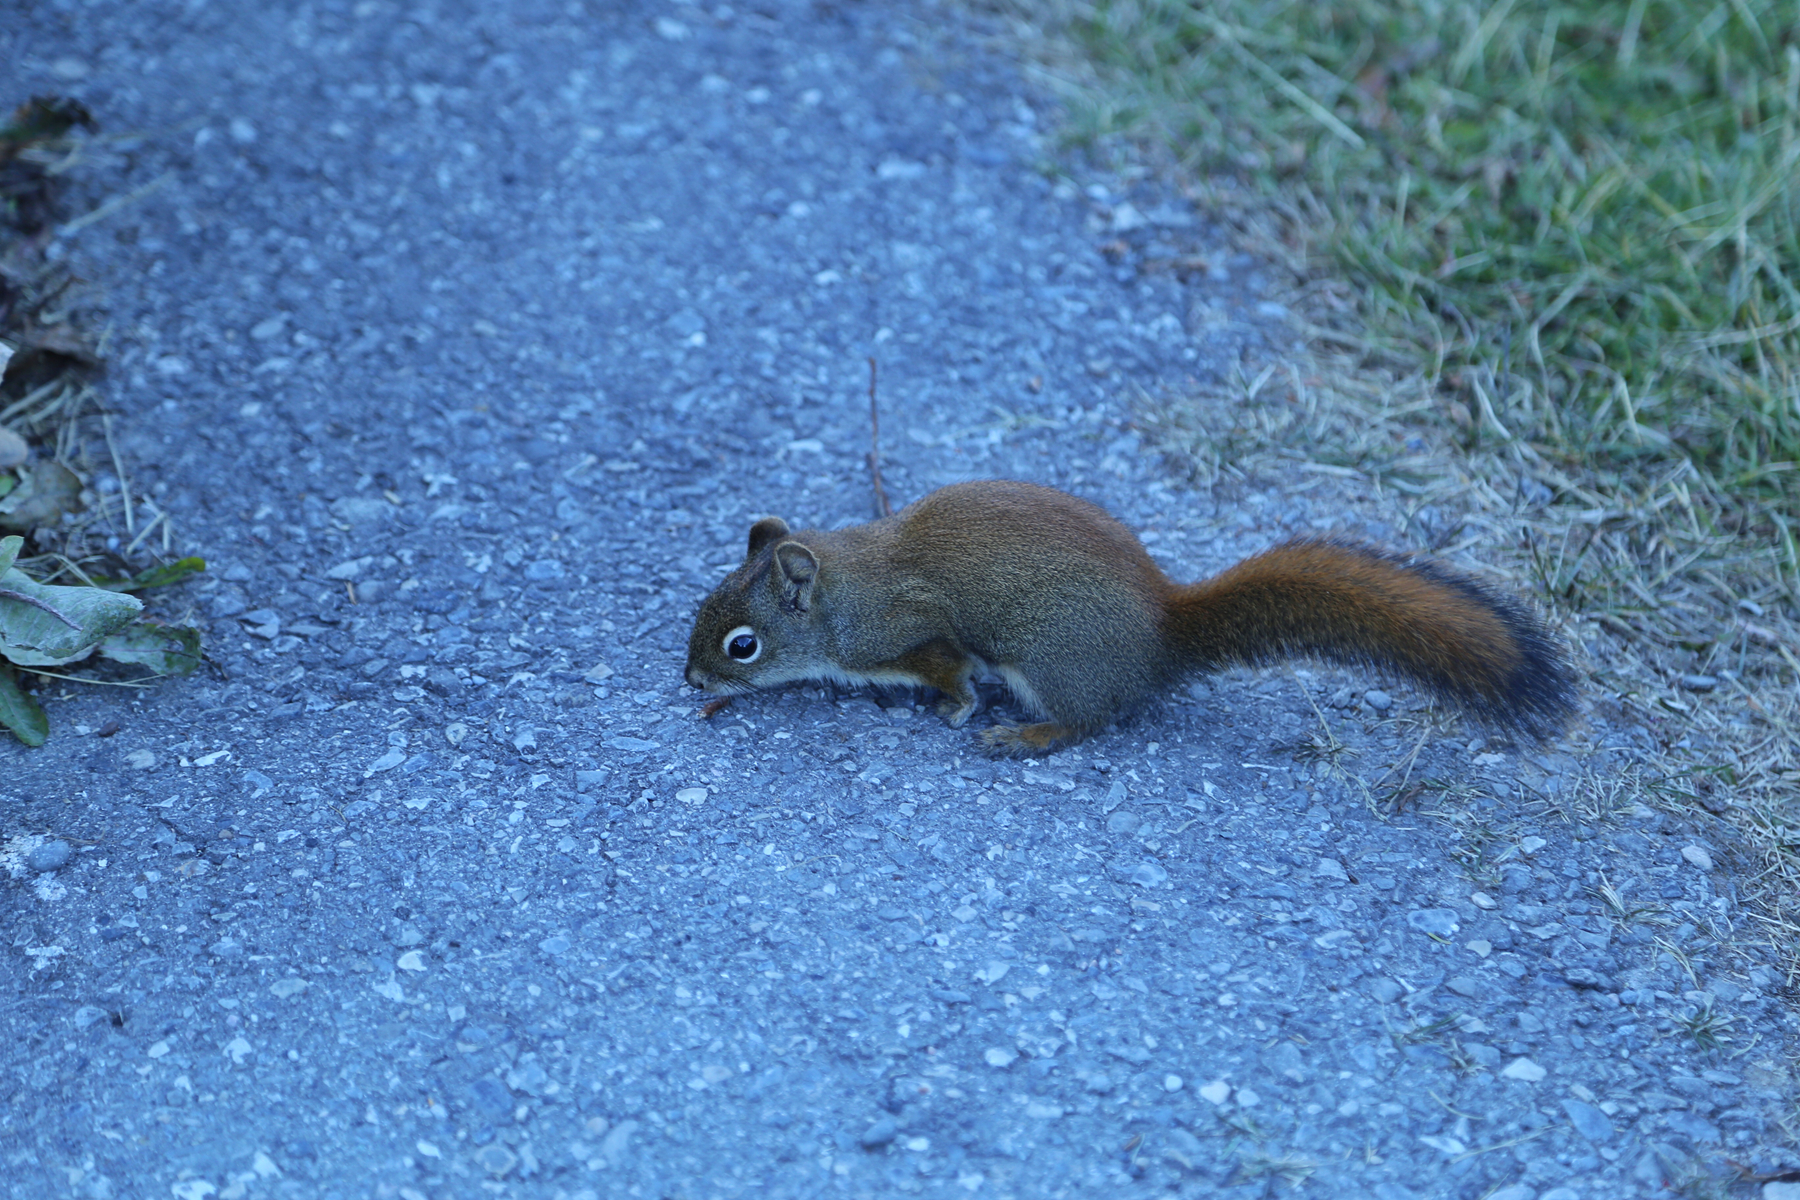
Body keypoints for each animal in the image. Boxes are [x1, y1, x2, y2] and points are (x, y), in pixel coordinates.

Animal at [687, 474, 1576, 752]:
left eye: (743, 645)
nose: (690, 677)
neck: (843, 590)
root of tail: (1161, 633)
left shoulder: (911, 630)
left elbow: (954, 669)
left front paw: (957, 710)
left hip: (1051, 658)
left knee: (1090, 720)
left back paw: (1023, 737)